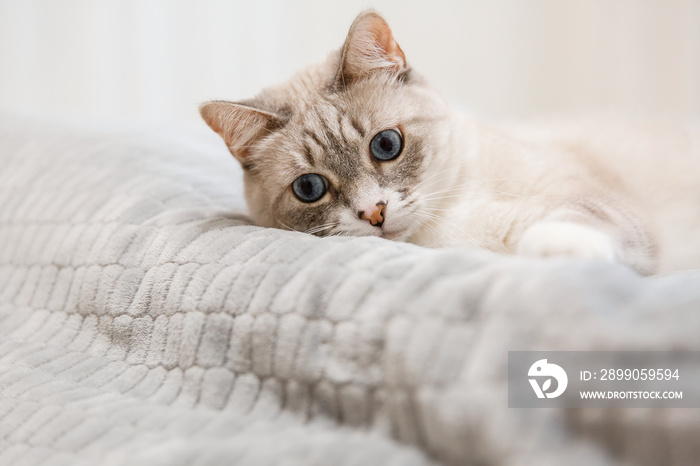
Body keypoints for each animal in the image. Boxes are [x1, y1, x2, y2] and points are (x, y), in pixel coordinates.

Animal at [198, 9, 700, 274]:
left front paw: (553, 255)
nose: (374, 213)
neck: (445, 231)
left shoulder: (590, 199)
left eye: (386, 146)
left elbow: (572, 221)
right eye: (309, 188)